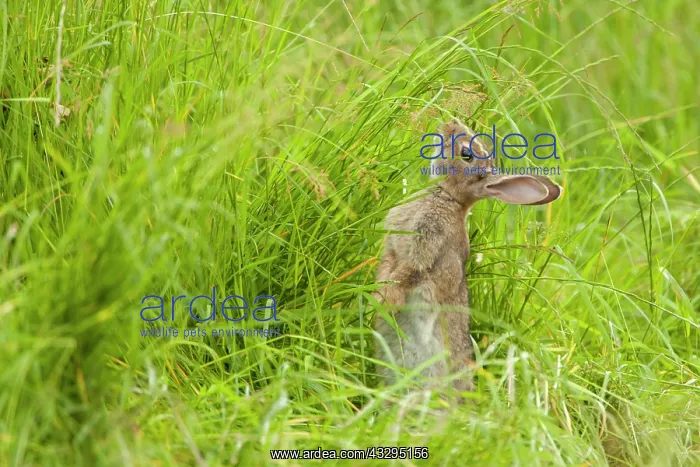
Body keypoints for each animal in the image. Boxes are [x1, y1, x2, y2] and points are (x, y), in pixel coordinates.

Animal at [374, 119, 562, 397]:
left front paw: (385, 301)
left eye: (466, 154)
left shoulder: (427, 248)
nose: (450, 123)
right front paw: (375, 296)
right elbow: (388, 264)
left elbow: (409, 273)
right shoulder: (392, 248)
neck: (448, 198)